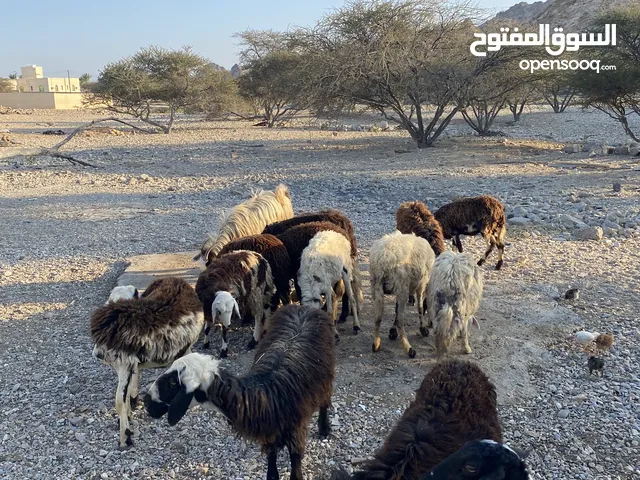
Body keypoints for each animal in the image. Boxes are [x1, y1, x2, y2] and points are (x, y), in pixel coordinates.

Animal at [90, 278, 202, 450]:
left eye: (135, 293)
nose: (97, 354)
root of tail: (176, 280)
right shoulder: (128, 365)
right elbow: (124, 397)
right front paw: (128, 418)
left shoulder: (124, 365)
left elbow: (119, 402)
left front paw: (125, 437)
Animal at [144, 304, 336, 480]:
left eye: (173, 382)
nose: (146, 402)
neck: (262, 394)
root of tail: (305, 307)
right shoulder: (270, 434)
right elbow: (272, 471)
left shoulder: (296, 432)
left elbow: (295, 469)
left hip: (326, 378)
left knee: (325, 401)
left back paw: (324, 429)